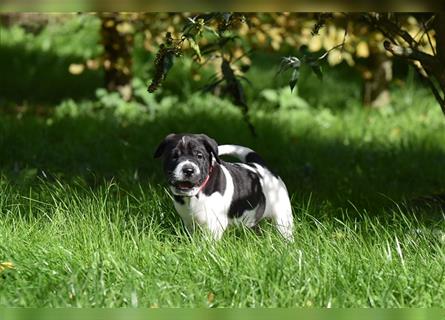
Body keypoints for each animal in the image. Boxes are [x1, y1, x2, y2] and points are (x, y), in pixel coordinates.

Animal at [154, 132, 294, 240]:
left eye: (199, 156)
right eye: (174, 156)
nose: (188, 170)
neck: (195, 195)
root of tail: (260, 166)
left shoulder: (214, 224)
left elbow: (208, 242)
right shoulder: (188, 222)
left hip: (283, 215)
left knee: (285, 230)